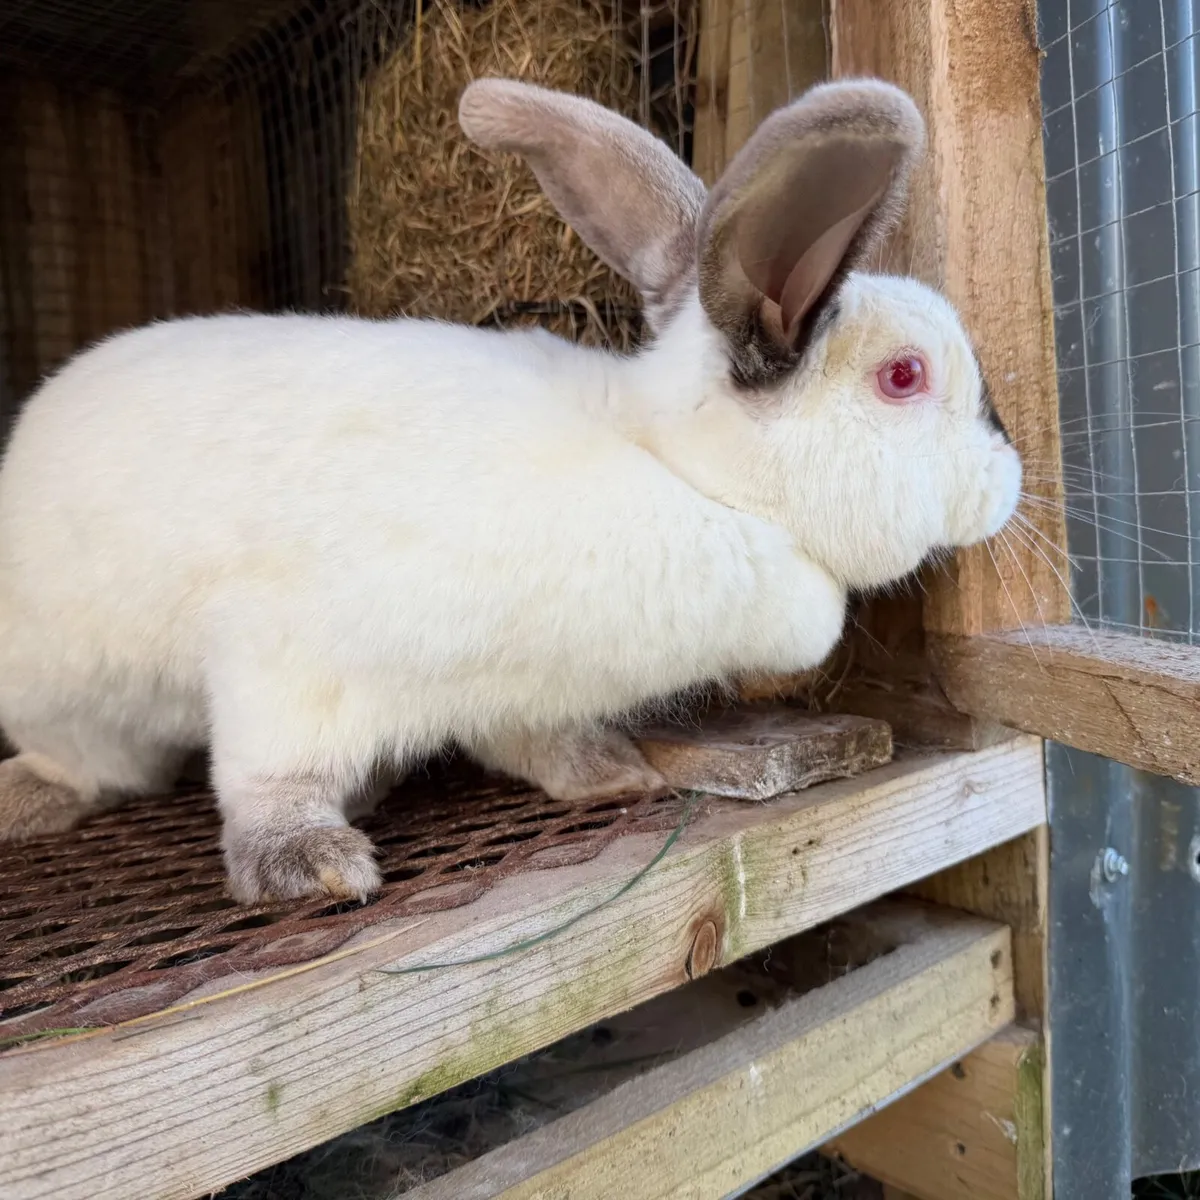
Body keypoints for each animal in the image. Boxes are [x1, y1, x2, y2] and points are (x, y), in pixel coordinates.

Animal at [0, 77, 1021, 903]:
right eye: (903, 377)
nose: (1010, 476)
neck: (675, 471)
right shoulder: (284, 661)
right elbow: (270, 773)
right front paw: (310, 866)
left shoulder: (520, 692)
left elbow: (534, 744)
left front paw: (608, 773)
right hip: (77, 701)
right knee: (95, 768)